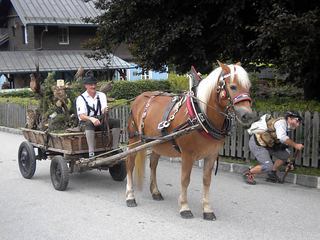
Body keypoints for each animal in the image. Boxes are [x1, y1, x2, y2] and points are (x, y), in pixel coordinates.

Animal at [126, 61, 254, 220]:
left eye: (248, 86)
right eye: (233, 87)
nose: (248, 116)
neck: (200, 114)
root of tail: (139, 97)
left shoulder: (211, 155)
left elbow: (207, 180)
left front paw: (207, 209)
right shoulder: (187, 155)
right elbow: (185, 179)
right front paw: (184, 207)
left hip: (157, 143)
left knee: (153, 165)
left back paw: (155, 191)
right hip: (134, 140)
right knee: (130, 164)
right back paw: (130, 196)